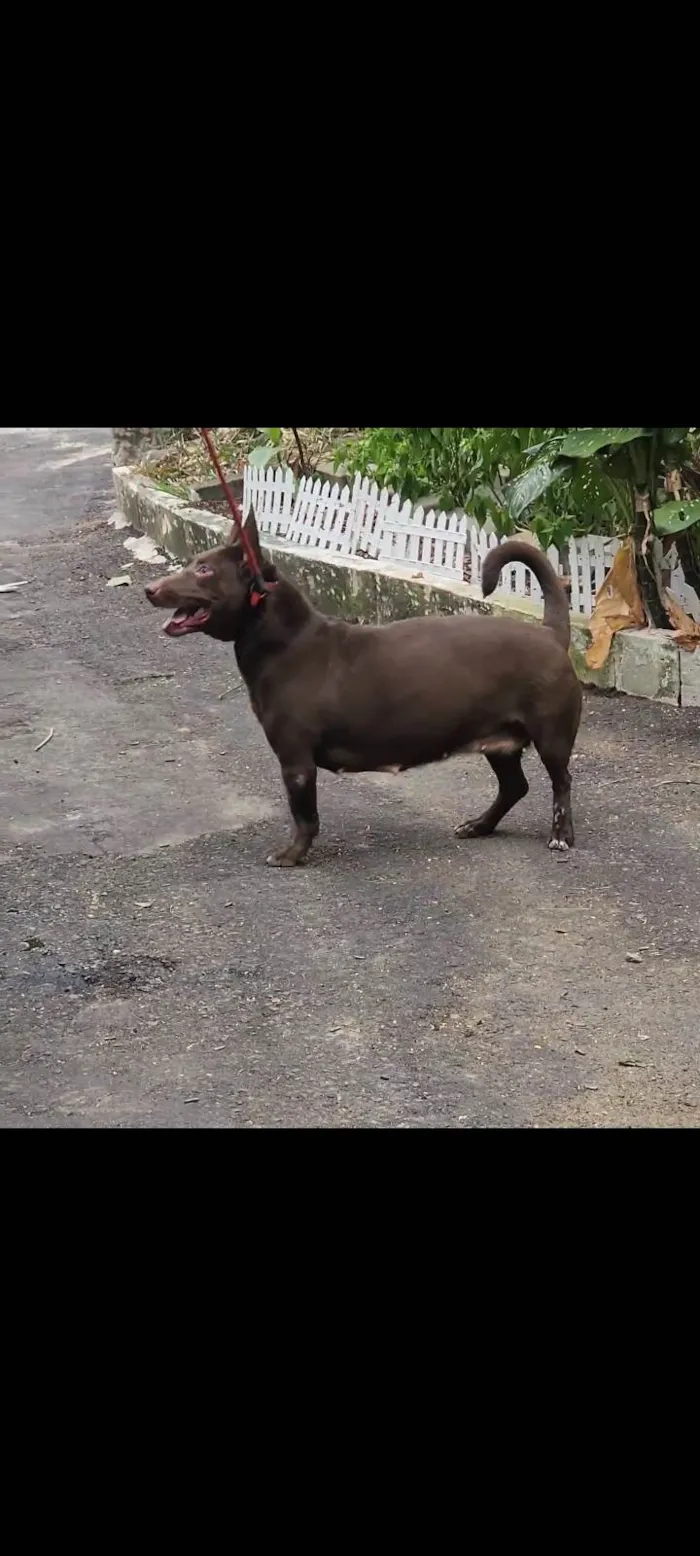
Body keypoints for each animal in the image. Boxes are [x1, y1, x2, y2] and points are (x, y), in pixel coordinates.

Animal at [144, 516, 581, 871]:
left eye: (203, 569)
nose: (150, 589)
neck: (288, 643)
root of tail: (550, 633)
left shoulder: (296, 763)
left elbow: (304, 816)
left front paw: (292, 855)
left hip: (551, 737)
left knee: (561, 782)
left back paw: (561, 835)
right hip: (499, 743)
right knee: (514, 787)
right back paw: (479, 825)